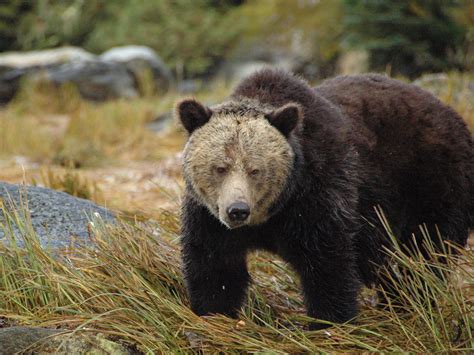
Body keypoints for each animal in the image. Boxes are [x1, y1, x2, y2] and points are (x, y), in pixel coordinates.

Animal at [176, 68, 472, 330]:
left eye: (255, 169)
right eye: (220, 167)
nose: (237, 210)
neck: (273, 212)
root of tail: (454, 115)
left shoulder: (318, 195)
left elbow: (328, 265)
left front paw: (328, 322)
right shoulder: (210, 218)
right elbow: (215, 267)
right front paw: (214, 313)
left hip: (430, 182)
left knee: (422, 255)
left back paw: (408, 304)